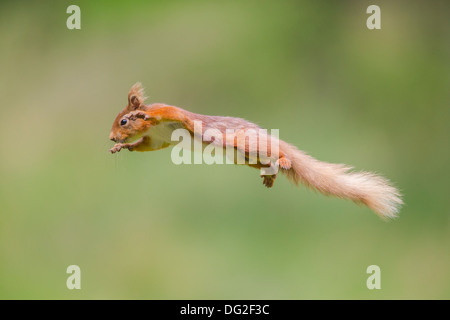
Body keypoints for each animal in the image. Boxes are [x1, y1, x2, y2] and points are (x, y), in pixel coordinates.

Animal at [110, 82, 404, 219]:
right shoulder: (157, 140)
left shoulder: (171, 115)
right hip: (247, 158)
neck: (154, 126)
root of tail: (267, 135)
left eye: (123, 121)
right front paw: (122, 146)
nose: (111, 135)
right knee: (267, 161)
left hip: (245, 144)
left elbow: (170, 113)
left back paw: (284, 160)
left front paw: (137, 121)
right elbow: (145, 146)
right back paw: (271, 175)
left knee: (276, 151)